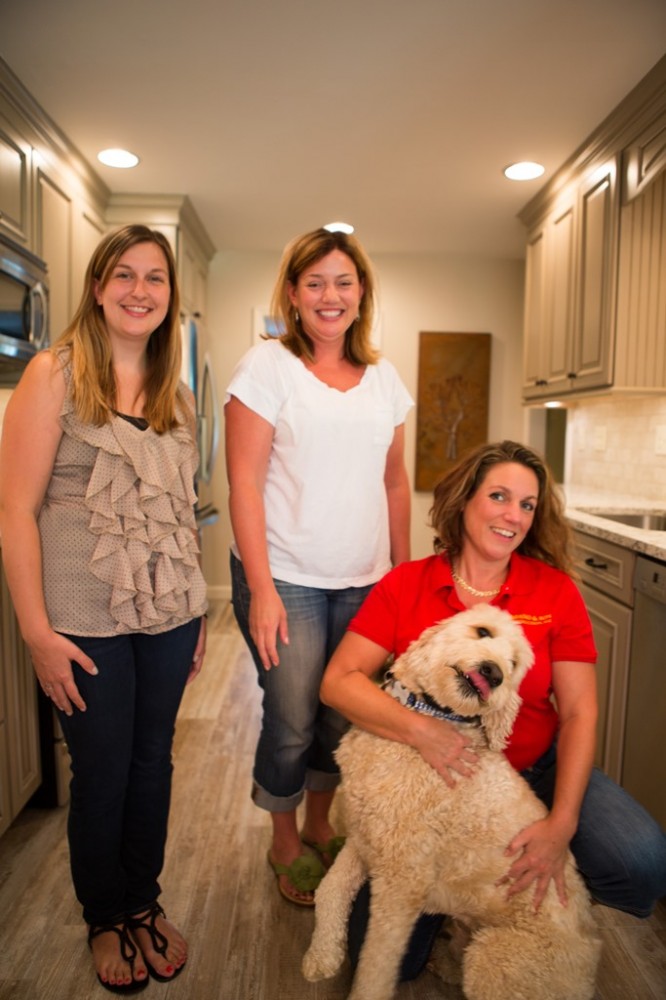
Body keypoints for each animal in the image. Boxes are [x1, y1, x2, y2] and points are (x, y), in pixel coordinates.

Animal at [298, 600, 600, 1000]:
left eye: (514, 664)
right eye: (483, 631)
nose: (495, 672)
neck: (428, 715)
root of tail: (589, 972)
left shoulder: (402, 881)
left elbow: (377, 963)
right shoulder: (366, 838)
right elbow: (329, 890)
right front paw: (322, 956)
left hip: (496, 962)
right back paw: (444, 960)